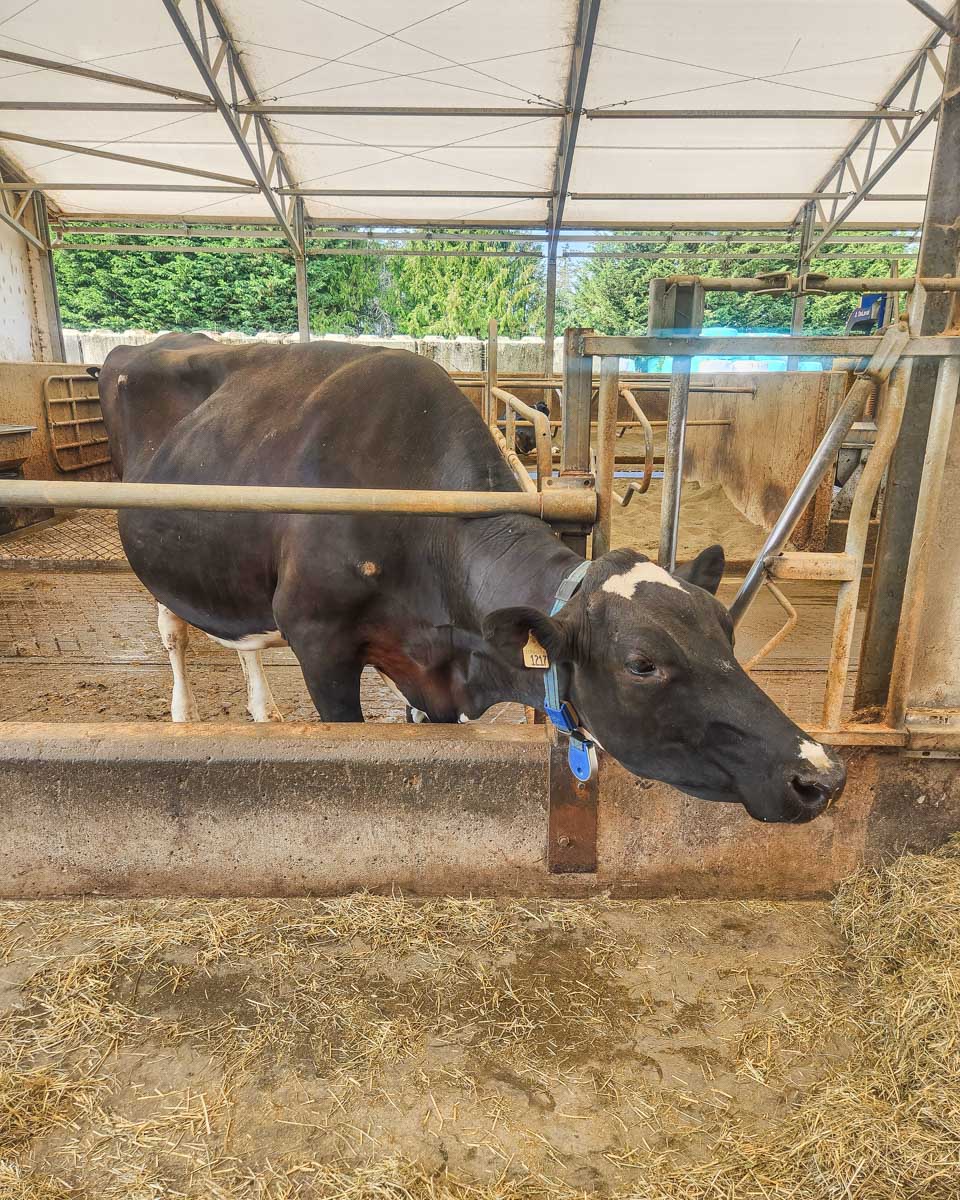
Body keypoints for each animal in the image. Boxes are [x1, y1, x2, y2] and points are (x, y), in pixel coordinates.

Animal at [95, 333, 845, 825]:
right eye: (642, 664)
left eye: (726, 631)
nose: (822, 775)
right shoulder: (320, 643)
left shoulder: (433, 671)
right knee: (173, 632)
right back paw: (182, 717)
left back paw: (262, 710)